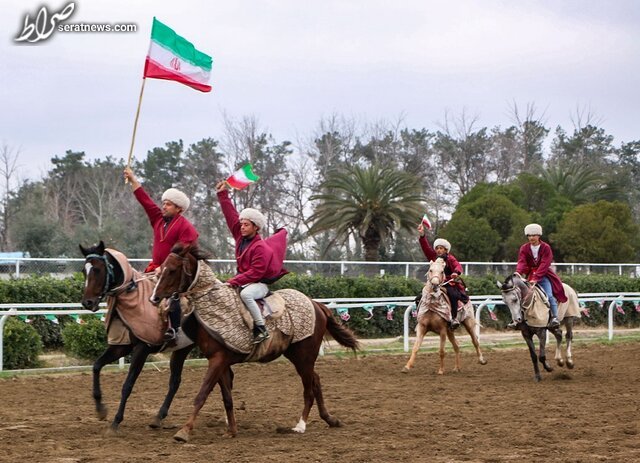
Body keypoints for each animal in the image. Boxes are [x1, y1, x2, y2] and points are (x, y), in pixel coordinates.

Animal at [77, 243, 232, 436]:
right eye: (84, 270)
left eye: (97, 269)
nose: (87, 302)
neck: (133, 296)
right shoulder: (121, 347)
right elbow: (96, 366)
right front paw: (100, 409)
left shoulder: (142, 349)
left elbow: (127, 385)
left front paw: (115, 422)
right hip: (183, 349)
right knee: (177, 381)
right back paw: (159, 417)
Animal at [149, 243, 360, 442]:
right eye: (161, 269)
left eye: (172, 270)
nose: (154, 298)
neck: (215, 305)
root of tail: (316, 304)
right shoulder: (221, 361)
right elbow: (227, 398)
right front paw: (231, 430)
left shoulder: (217, 360)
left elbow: (202, 394)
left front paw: (184, 431)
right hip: (298, 356)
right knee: (316, 381)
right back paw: (330, 419)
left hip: (305, 357)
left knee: (309, 388)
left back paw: (301, 425)